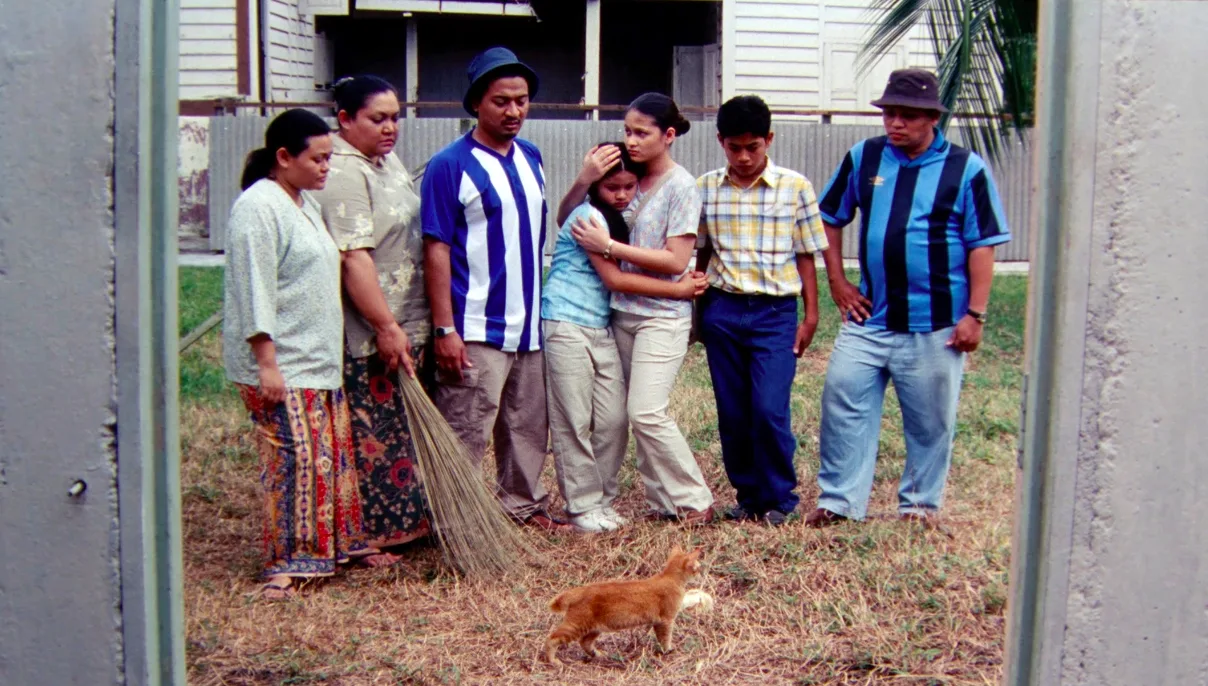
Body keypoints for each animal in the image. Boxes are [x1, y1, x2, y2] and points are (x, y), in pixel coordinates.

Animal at [544, 547, 703, 664]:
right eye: (698, 567)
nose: (702, 574)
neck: (669, 577)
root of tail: (579, 590)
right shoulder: (666, 620)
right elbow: (666, 638)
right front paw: (668, 650)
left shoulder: (658, 622)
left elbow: (660, 638)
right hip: (575, 626)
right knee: (551, 638)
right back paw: (553, 661)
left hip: (594, 629)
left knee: (584, 642)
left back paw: (598, 655)